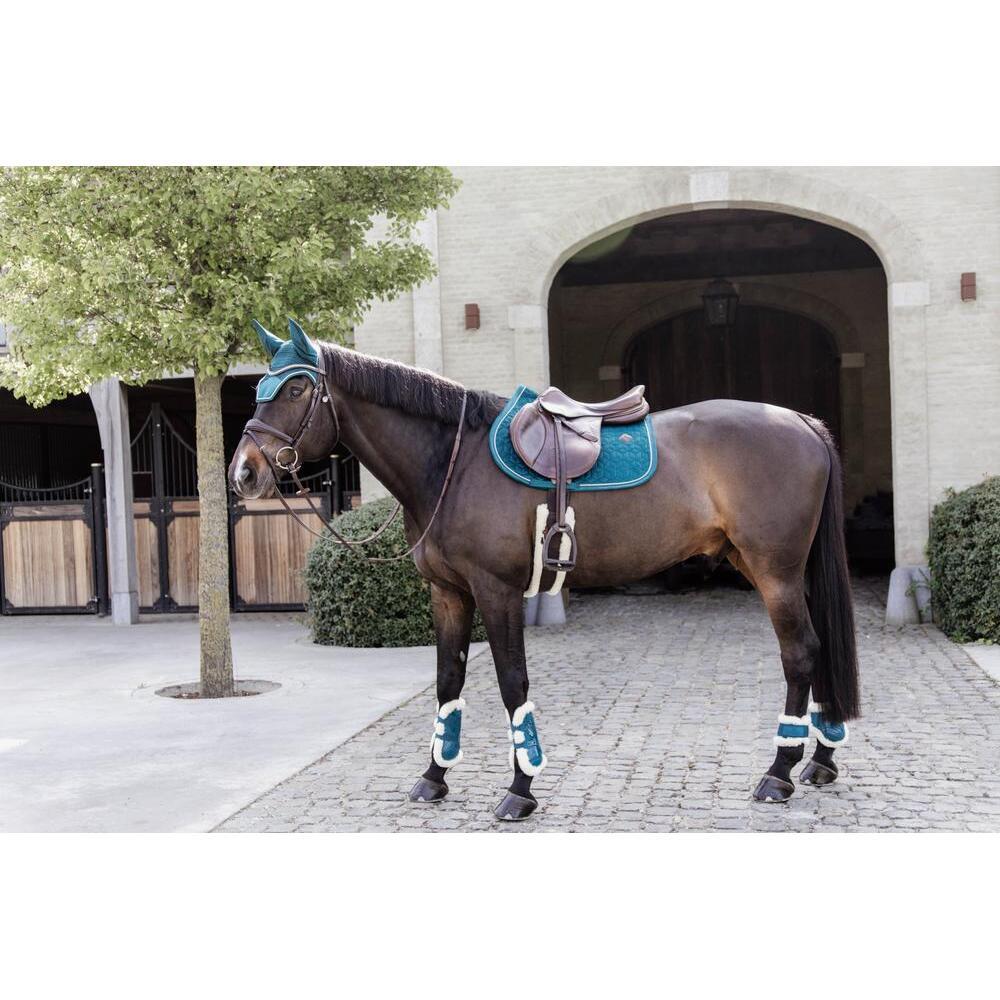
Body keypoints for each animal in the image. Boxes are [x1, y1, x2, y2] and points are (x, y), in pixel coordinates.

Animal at [229, 319, 860, 821]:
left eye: (295, 387)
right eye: (258, 389)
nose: (244, 473)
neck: (452, 464)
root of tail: (801, 422)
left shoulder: (498, 592)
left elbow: (513, 682)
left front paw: (520, 788)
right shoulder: (447, 594)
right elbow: (448, 680)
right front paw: (434, 778)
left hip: (775, 572)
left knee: (800, 652)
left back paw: (779, 773)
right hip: (772, 568)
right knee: (819, 647)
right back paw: (820, 760)